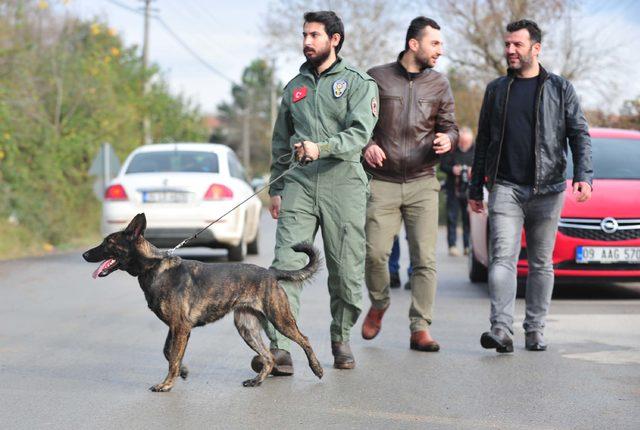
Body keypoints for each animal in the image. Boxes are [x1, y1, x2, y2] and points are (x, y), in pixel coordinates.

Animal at [84, 213, 324, 392]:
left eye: (108, 242)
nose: (85, 254)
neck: (154, 266)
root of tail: (270, 273)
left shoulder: (180, 327)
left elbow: (172, 358)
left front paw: (167, 384)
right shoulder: (176, 327)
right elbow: (168, 353)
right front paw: (182, 371)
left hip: (280, 319)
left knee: (304, 339)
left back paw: (317, 368)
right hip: (246, 327)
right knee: (268, 358)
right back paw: (256, 381)